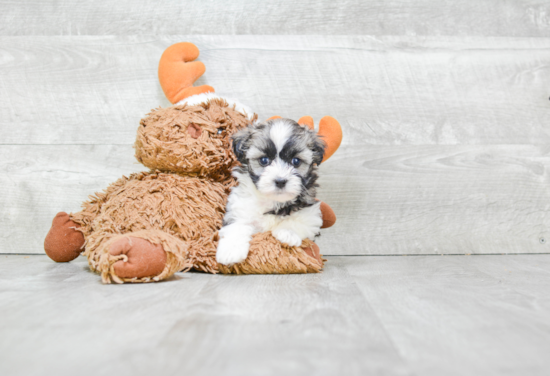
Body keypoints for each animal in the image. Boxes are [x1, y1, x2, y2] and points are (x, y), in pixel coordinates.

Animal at [217, 117, 328, 264]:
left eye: (296, 161)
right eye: (264, 160)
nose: (280, 181)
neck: (272, 200)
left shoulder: (311, 212)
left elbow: (302, 219)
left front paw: (288, 232)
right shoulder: (240, 208)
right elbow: (237, 225)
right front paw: (230, 251)